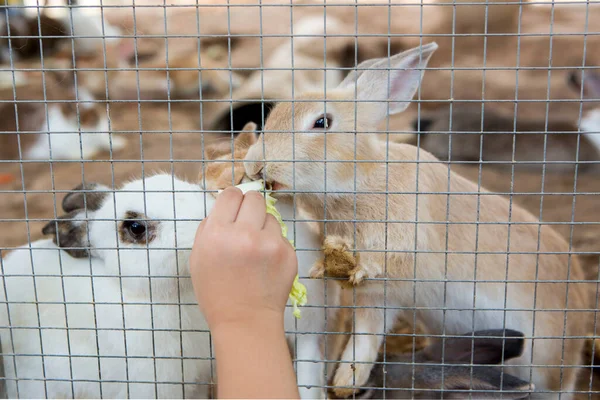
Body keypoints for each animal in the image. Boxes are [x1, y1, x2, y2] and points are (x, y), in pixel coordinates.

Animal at [243, 42, 592, 398]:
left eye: (322, 122)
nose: (255, 166)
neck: (362, 179)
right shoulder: (379, 297)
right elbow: (364, 335)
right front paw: (345, 381)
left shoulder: (395, 260)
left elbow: (373, 295)